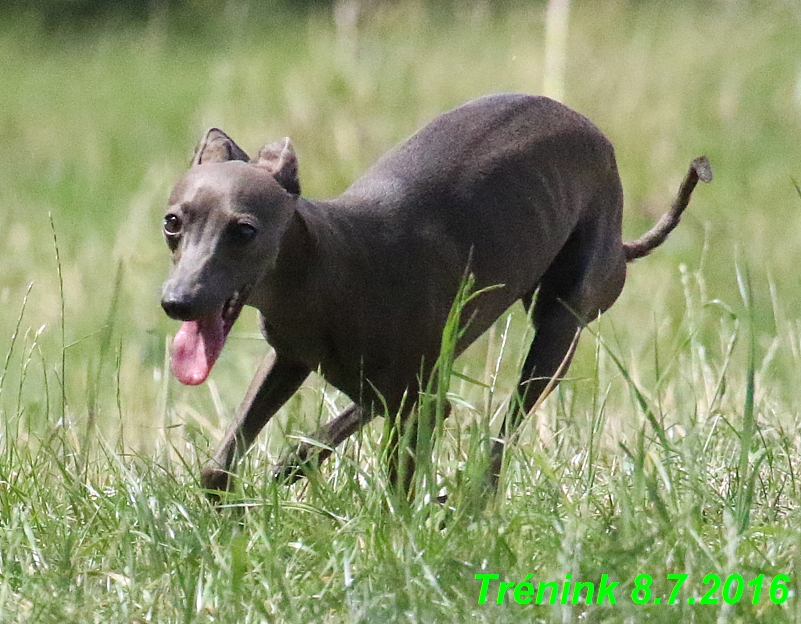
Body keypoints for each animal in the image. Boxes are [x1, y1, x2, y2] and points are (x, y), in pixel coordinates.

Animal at [159, 92, 708, 500]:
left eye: (244, 230)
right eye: (172, 223)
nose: (177, 302)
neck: (328, 268)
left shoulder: (410, 403)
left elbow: (398, 490)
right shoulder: (289, 357)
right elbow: (218, 468)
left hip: (559, 325)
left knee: (500, 431)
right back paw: (301, 459)